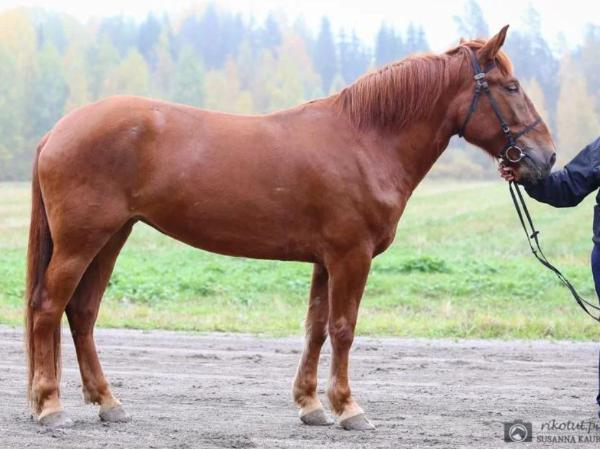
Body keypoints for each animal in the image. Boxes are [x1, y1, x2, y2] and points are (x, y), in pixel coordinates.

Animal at [25, 25, 556, 430]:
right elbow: (343, 329)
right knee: (48, 309)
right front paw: (349, 409)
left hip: (112, 237)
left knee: (82, 312)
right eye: (511, 87)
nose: (546, 157)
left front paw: (311, 405)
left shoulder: (325, 260)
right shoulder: (350, 257)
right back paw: (50, 406)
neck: (365, 140)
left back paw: (108, 403)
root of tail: (57, 130)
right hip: (81, 242)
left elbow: (315, 329)